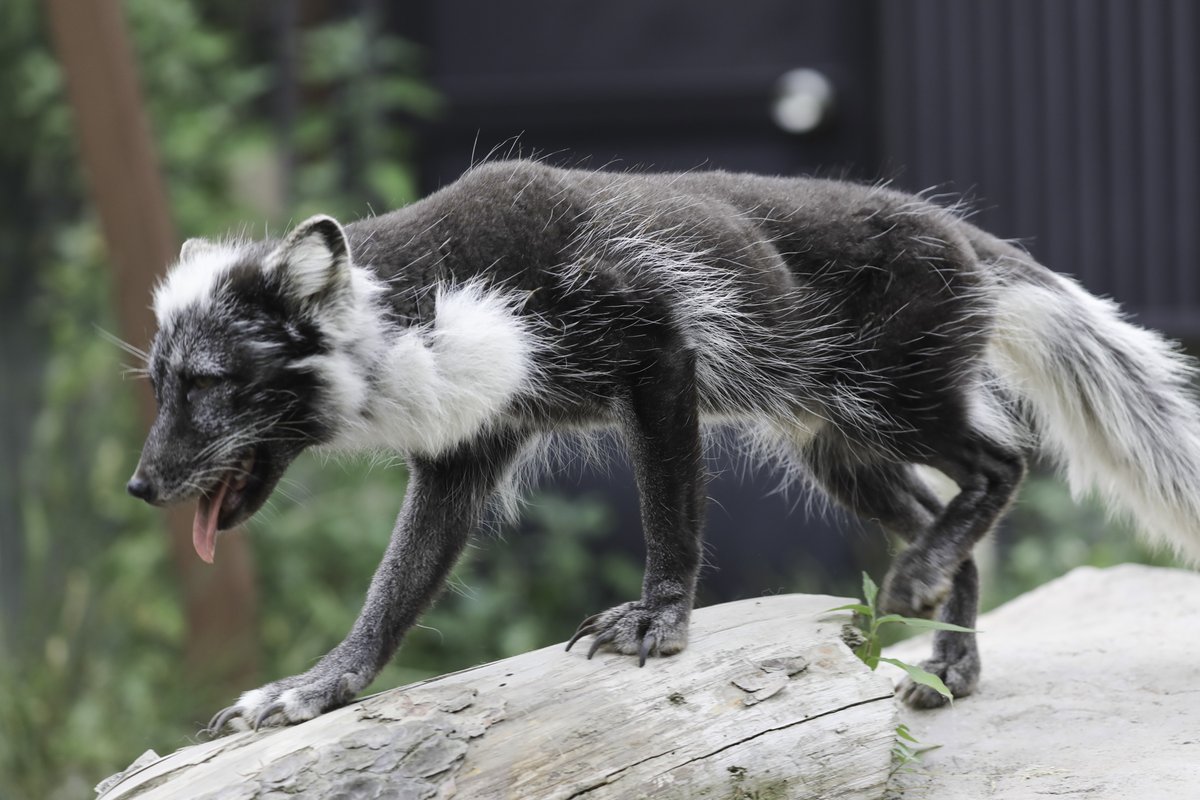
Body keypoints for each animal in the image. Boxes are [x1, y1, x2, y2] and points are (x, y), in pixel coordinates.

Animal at [126, 160, 1200, 734]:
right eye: (160, 386)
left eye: (209, 384)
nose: (139, 486)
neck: (426, 303)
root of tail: (965, 235)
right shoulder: (469, 447)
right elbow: (393, 594)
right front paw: (316, 690)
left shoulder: (657, 355)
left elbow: (670, 513)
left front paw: (660, 619)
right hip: (837, 448)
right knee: (957, 527)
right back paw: (950, 661)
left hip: (894, 405)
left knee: (1002, 465)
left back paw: (925, 590)